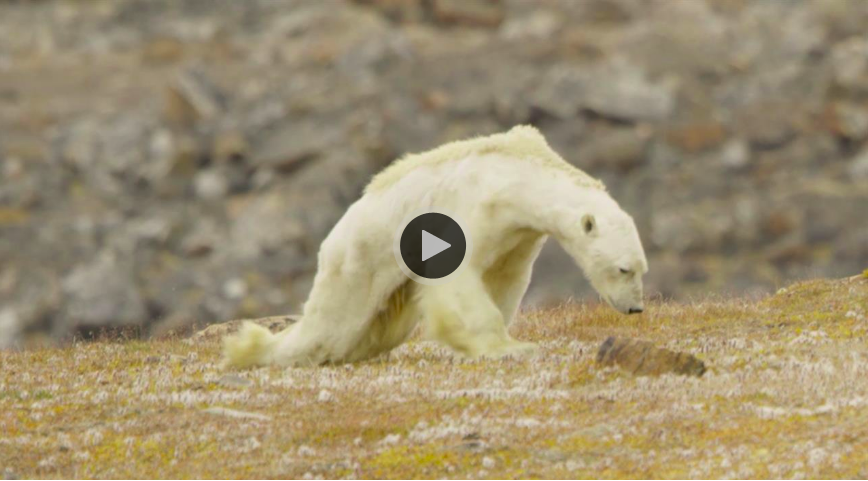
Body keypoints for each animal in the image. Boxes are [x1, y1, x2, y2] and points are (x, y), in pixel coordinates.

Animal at [222, 125, 644, 366]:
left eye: (642, 269)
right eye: (623, 268)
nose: (635, 308)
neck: (519, 174)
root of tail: (332, 238)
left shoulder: (518, 235)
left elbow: (504, 279)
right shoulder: (473, 207)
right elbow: (457, 279)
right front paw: (507, 348)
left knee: (376, 329)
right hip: (359, 260)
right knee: (332, 326)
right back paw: (252, 351)